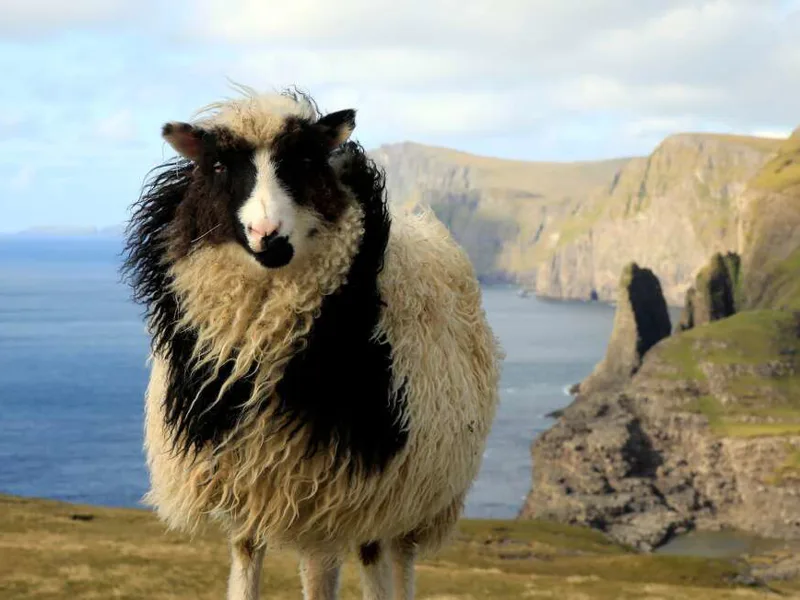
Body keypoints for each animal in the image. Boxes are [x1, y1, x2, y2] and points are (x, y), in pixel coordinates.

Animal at [121, 85, 503, 600]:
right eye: (218, 166)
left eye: (303, 160)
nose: (268, 236)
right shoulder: (246, 482)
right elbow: (245, 562)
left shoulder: (326, 495)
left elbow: (321, 579)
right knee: (371, 553)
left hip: (414, 493)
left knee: (394, 561)